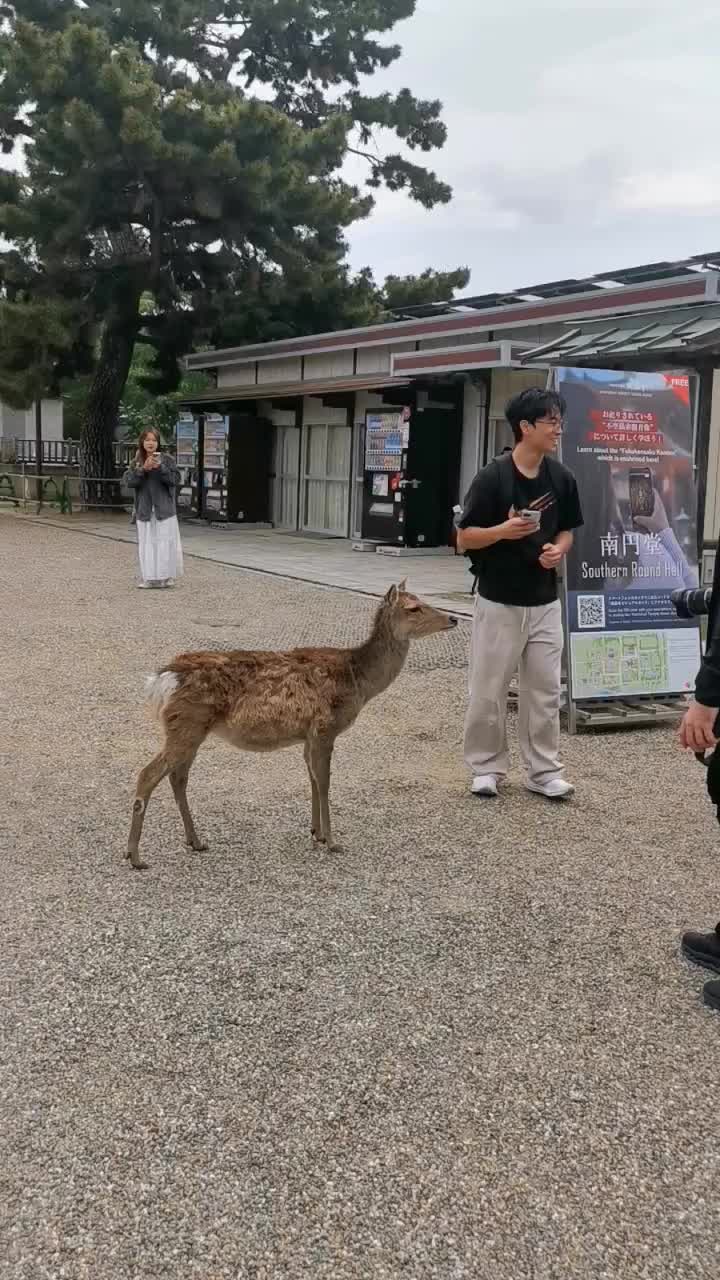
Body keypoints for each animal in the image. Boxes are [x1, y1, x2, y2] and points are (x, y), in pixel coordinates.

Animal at [127, 582, 458, 870]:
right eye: (413, 607)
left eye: (423, 600)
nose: (453, 618)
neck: (359, 682)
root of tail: (161, 680)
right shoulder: (325, 726)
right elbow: (324, 781)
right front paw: (333, 842)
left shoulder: (308, 734)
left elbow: (312, 778)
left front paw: (316, 833)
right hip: (187, 724)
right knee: (148, 774)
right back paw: (135, 856)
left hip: (191, 729)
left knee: (178, 777)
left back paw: (195, 841)